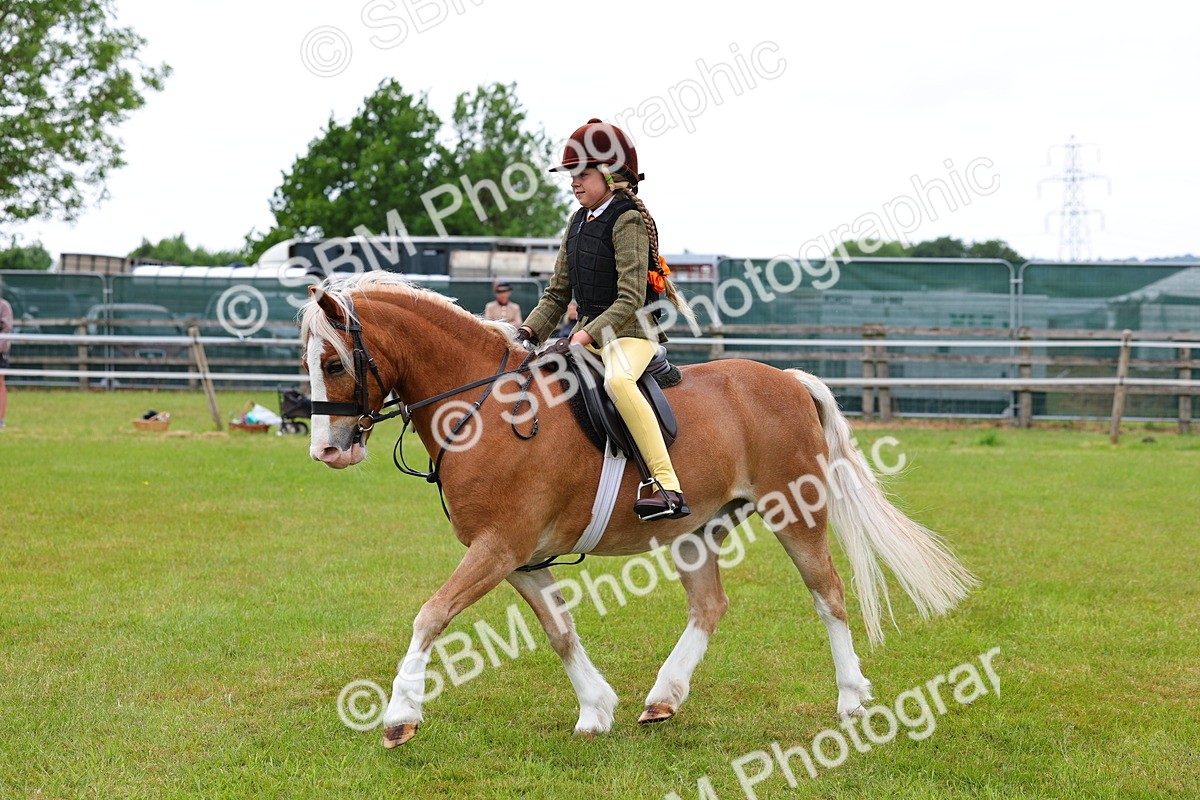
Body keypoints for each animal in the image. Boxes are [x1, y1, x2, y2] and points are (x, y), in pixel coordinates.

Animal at [299, 272, 976, 748]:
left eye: (334, 362)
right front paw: (596, 709)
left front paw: (398, 716)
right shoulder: (520, 558)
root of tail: (787, 378)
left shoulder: (500, 546)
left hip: (795, 511)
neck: (486, 406)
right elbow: (559, 629)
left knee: (828, 594)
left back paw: (852, 698)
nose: (327, 450)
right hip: (696, 528)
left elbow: (431, 615)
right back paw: (664, 696)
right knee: (710, 605)